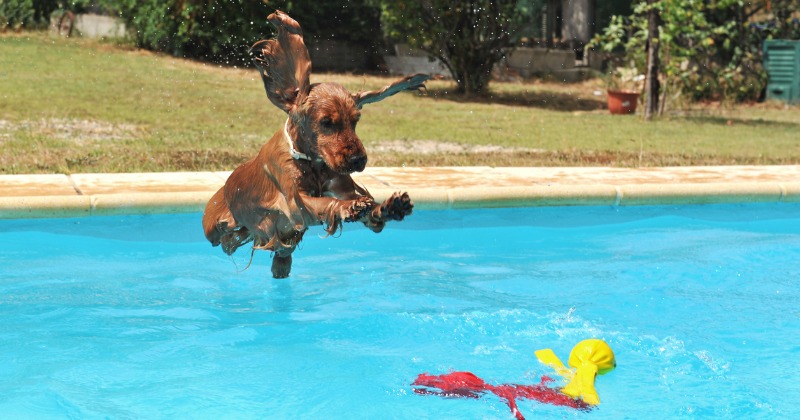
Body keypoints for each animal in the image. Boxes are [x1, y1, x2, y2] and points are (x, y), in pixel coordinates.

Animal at [203, 9, 428, 278]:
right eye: (326, 122)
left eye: (356, 120)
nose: (358, 160)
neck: (313, 163)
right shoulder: (295, 203)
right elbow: (324, 203)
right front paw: (349, 207)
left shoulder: (341, 187)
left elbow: (371, 213)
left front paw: (391, 207)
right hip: (212, 225)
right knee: (223, 237)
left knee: (279, 254)